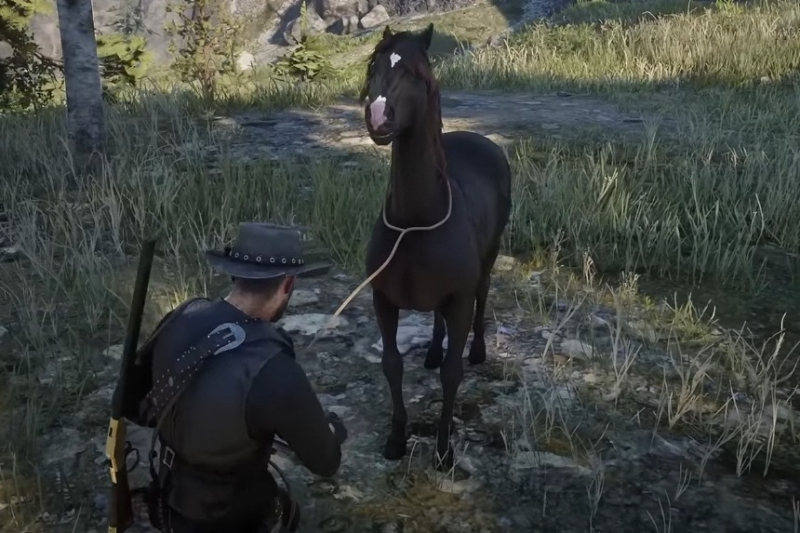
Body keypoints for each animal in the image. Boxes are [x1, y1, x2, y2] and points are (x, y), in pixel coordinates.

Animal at [360, 23, 513, 471]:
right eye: (373, 67)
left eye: (416, 73)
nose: (380, 116)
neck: (415, 222)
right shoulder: (382, 300)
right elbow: (391, 365)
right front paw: (396, 439)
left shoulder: (459, 300)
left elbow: (451, 374)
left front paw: (444, 451)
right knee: (436, 321)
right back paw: (431, 349)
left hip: (489, 258)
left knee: (483, 293)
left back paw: (477, 350)